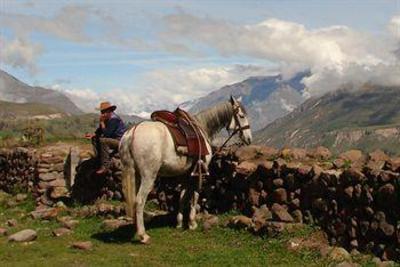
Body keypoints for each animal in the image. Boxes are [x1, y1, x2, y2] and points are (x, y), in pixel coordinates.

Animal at [119, 97, 252, 245]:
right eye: (241, 116)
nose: (249, 138)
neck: (202, 127)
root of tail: (132, 132)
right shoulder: (198, 172)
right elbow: (195, 195)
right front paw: (192, 223)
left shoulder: (185, 174)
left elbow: (183, 197)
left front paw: (179, 222)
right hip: (148, 176)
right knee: (139, 201)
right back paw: (143, 235)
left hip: (135, 174)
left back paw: (136, 228)